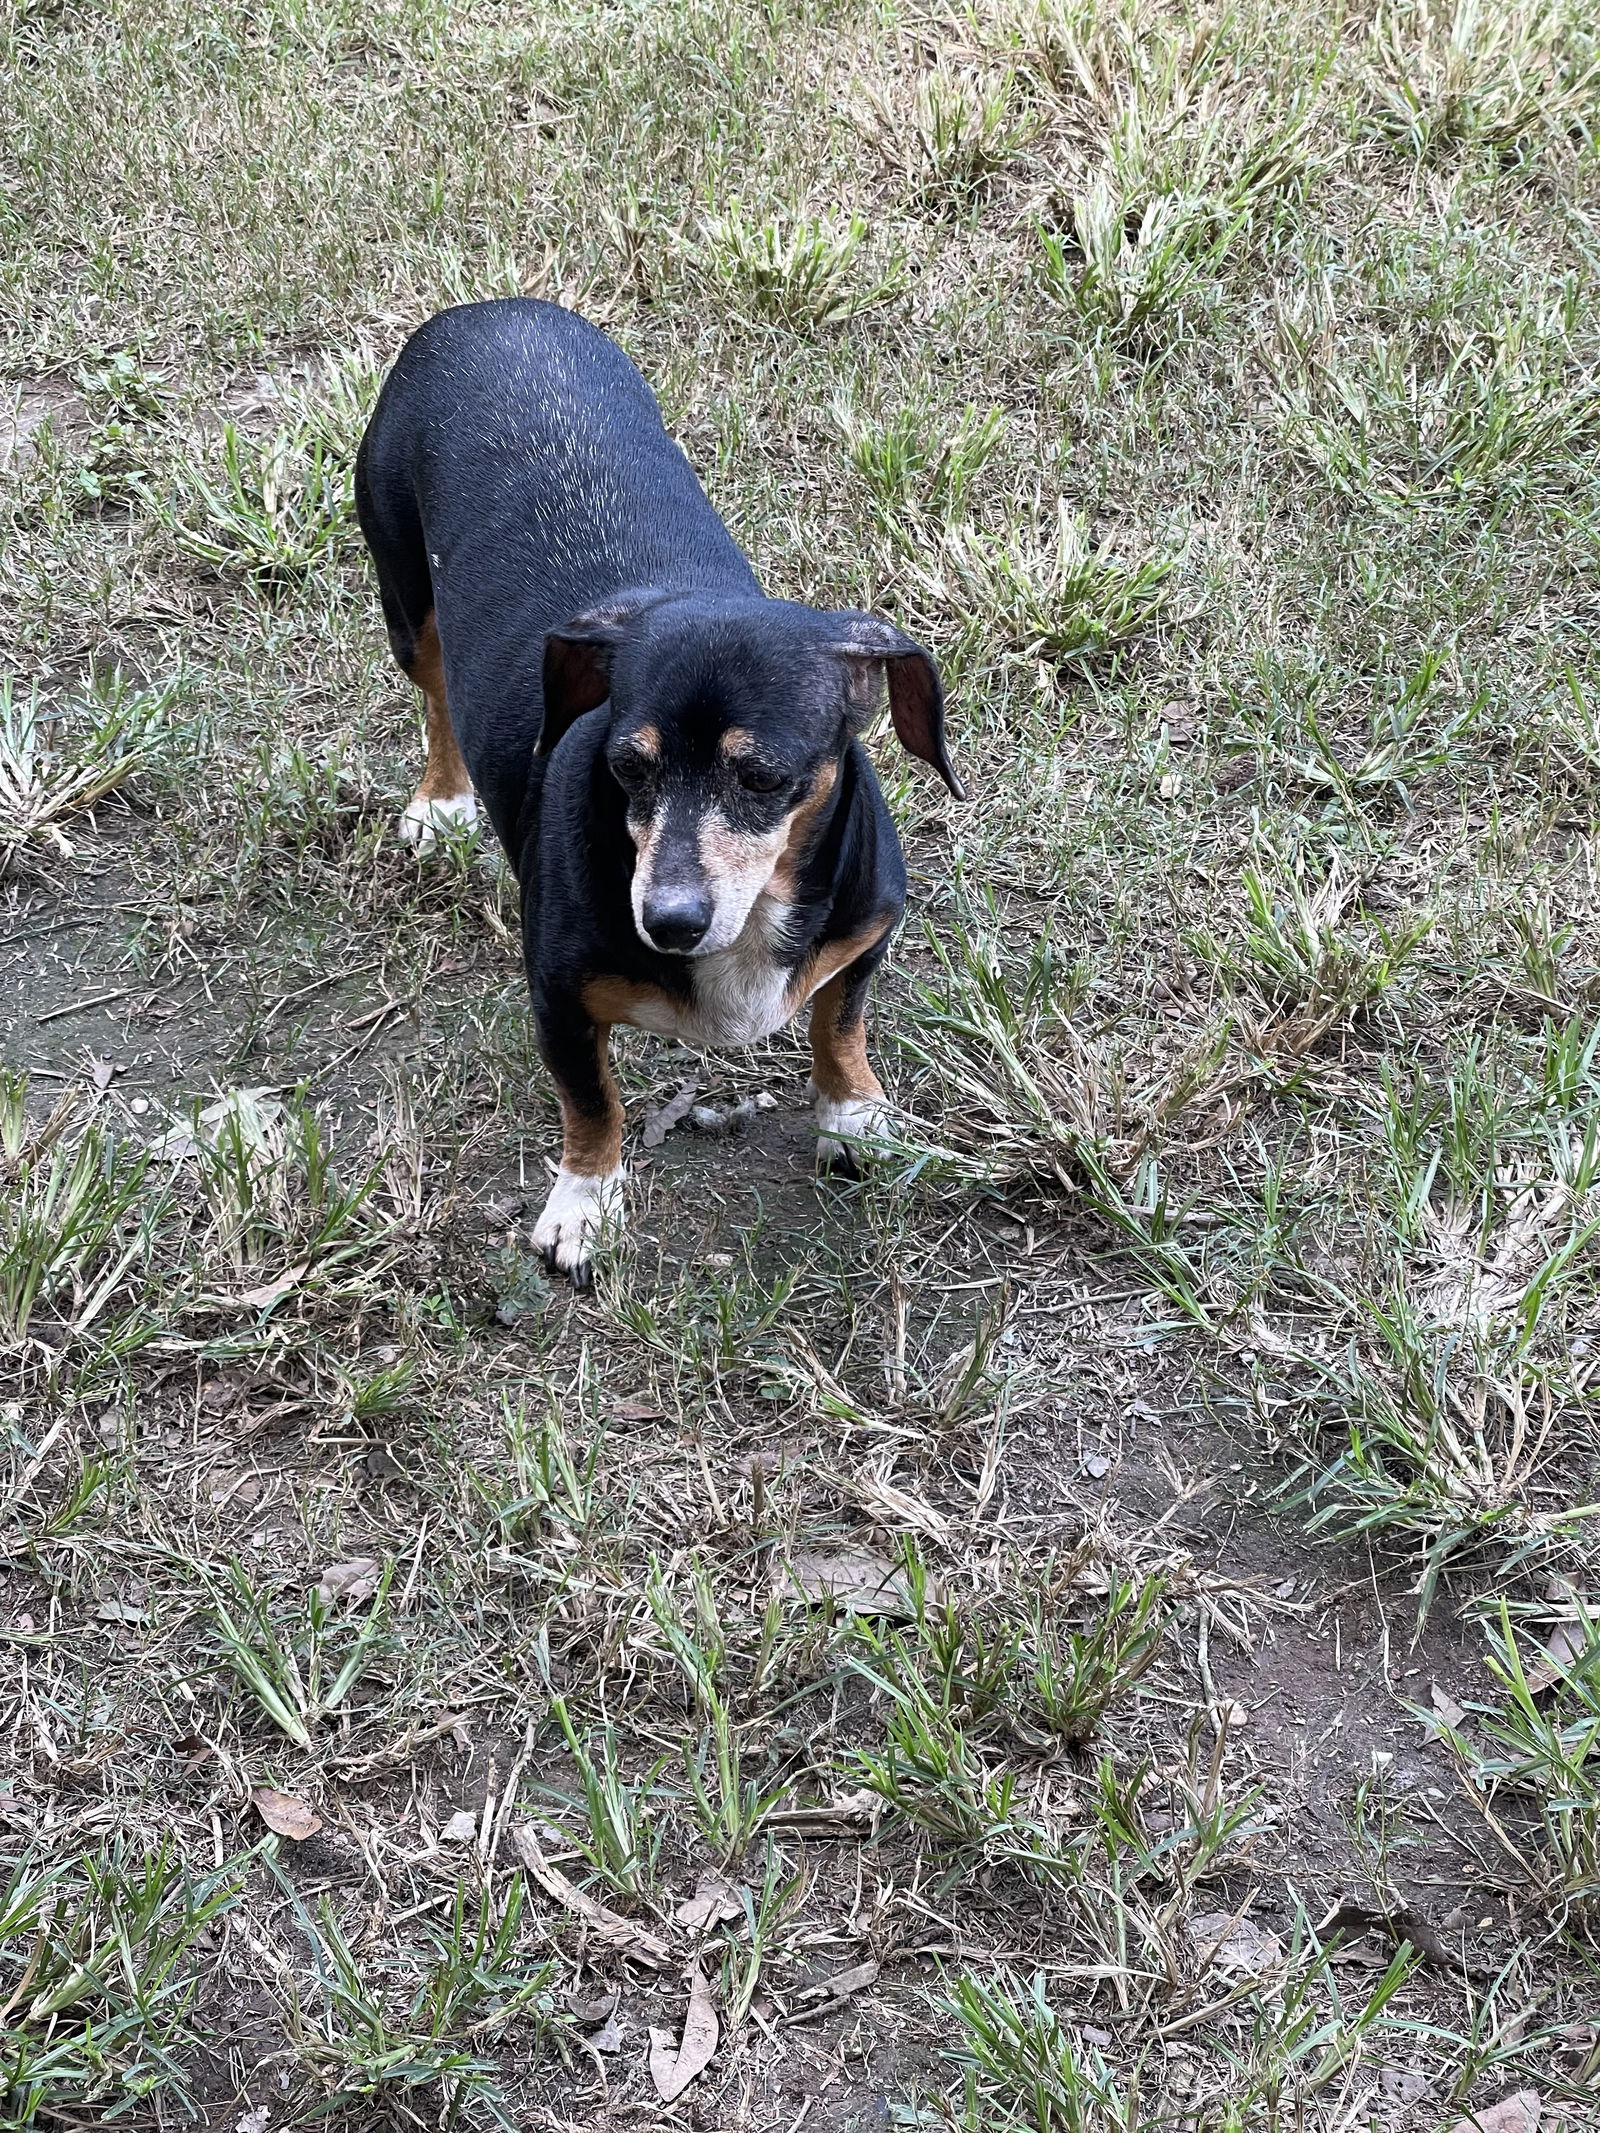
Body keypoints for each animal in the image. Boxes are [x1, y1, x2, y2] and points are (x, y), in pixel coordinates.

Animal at [360, 300, 964, 1279]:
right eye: (627, 766)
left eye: (764, 776)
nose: (669, 921)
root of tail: (489, 310)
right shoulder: (558, 1001)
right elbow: (592, 1102)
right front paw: (583, 1202)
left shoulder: (862, 941)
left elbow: (838, 1026)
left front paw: (853, 1116)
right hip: (406, 596)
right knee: (438, 690)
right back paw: (441, 801)